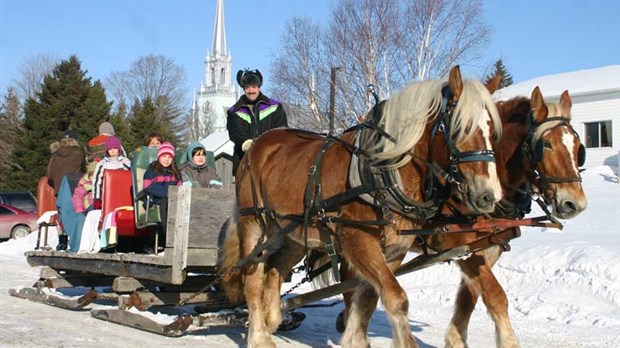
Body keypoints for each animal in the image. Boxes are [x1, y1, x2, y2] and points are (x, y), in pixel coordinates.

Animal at [218, 66, 504, 348]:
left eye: (492, 132)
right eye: (459, 129)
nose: (489, 196)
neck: (384, 171)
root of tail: (258, 144)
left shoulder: (394, 249)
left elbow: (367, 299)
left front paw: (353, 338)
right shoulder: (357, 239)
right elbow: (396, 298)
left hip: (293, 234)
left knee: (275, 269)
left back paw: (272, 319)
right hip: (254, 224)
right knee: (252, 280)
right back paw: (259, 337)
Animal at [336, 85, 588, 348]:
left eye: (578, 147)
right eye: (546, 144)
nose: (575, 203)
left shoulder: (485, 247)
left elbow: (471, 296)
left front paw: (455, 340)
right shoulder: (460, 245)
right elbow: (496, 295)